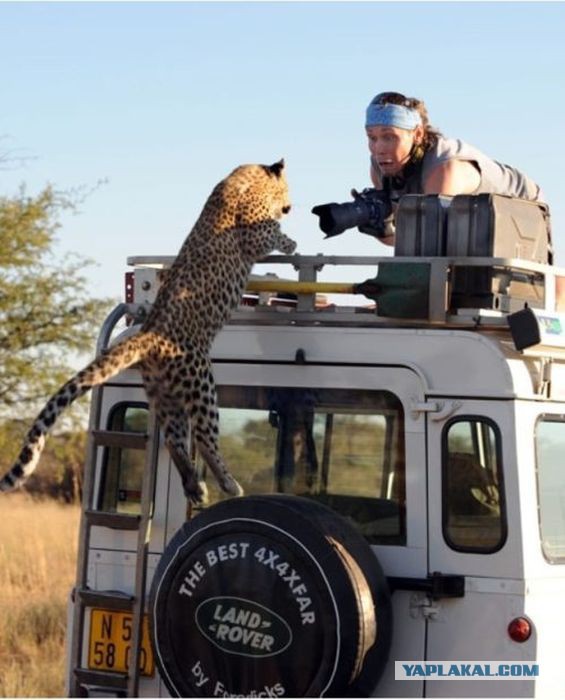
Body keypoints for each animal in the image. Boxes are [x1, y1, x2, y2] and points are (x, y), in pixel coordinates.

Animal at [0, 159, 298, 504]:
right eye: (288, 190)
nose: (290, 206)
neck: (250, 175)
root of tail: (149, 336)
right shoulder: (253, 234)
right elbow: (272, 232)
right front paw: (290, 241)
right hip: (202, 384)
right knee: (203, 436)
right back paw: (228, 484)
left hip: (164, 395)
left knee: (173, 439)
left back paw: (196, 488)